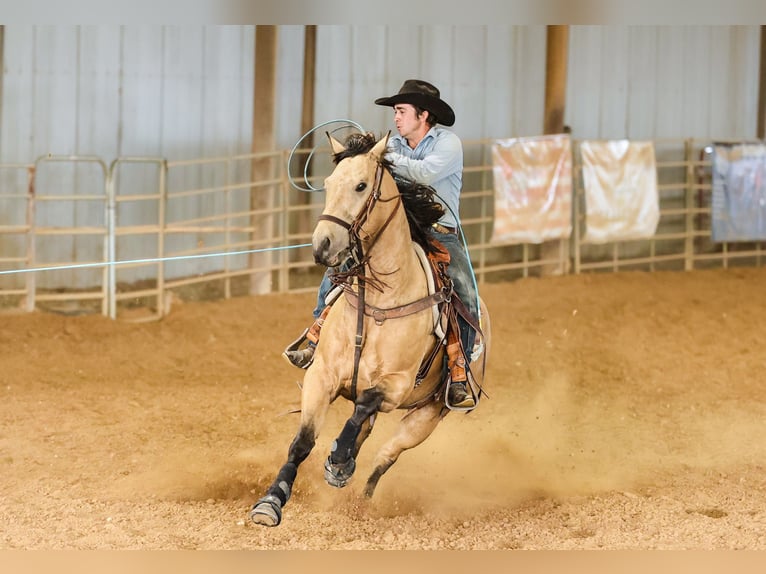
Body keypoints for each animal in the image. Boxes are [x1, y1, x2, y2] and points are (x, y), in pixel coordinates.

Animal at [250, 131, 491, 527]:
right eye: (329, 183)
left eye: (362, 186)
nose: (322, 245)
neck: (381, 302)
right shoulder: (321, 376)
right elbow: (302, 442)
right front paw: (270, 502)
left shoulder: (395, 385)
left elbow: (364, 404)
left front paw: (337, 458)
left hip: (426, 417)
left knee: (384, 456)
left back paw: (357, 493)